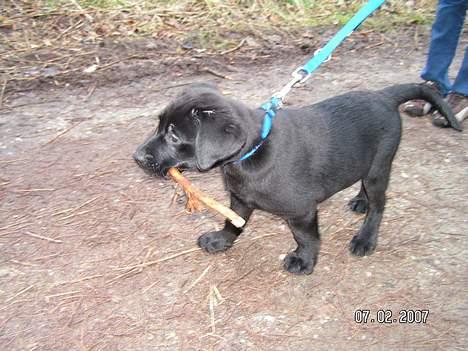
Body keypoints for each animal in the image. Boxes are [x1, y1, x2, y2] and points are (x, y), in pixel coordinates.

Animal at [133, 83, 460, 276]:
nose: (136, 157)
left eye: (174, 136)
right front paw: (220, 241)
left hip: (380, 166)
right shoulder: (239, 199)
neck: (253, 151)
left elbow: (307, 237)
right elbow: (233, 223)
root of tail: (383, 95)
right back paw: (360, 201)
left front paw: (304, 261)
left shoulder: (302, 210)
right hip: (365, 163)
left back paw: (365, 238)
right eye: (159, 124)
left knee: (380, 204)